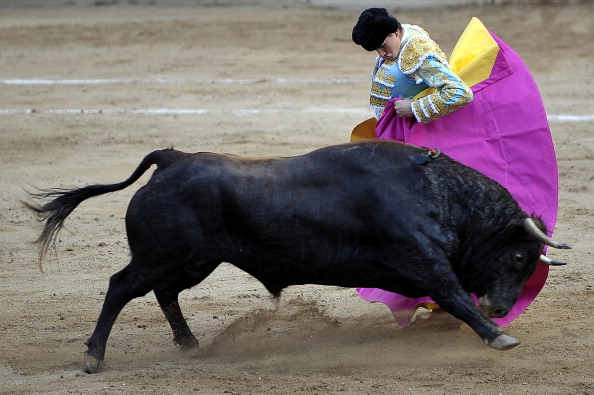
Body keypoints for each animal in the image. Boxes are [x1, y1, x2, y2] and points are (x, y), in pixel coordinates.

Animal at [24, 140, 568, 374]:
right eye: (519, 257)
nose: (500, 306)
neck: (438, 192)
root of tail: (172, 159)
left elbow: (449, 299)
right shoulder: (423, 260)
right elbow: (454, 295)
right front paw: (498, 335)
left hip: (194, 262)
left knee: (164, 292)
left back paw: (189, 343)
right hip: (159, 256)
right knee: (121, 287)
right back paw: (94, 356)